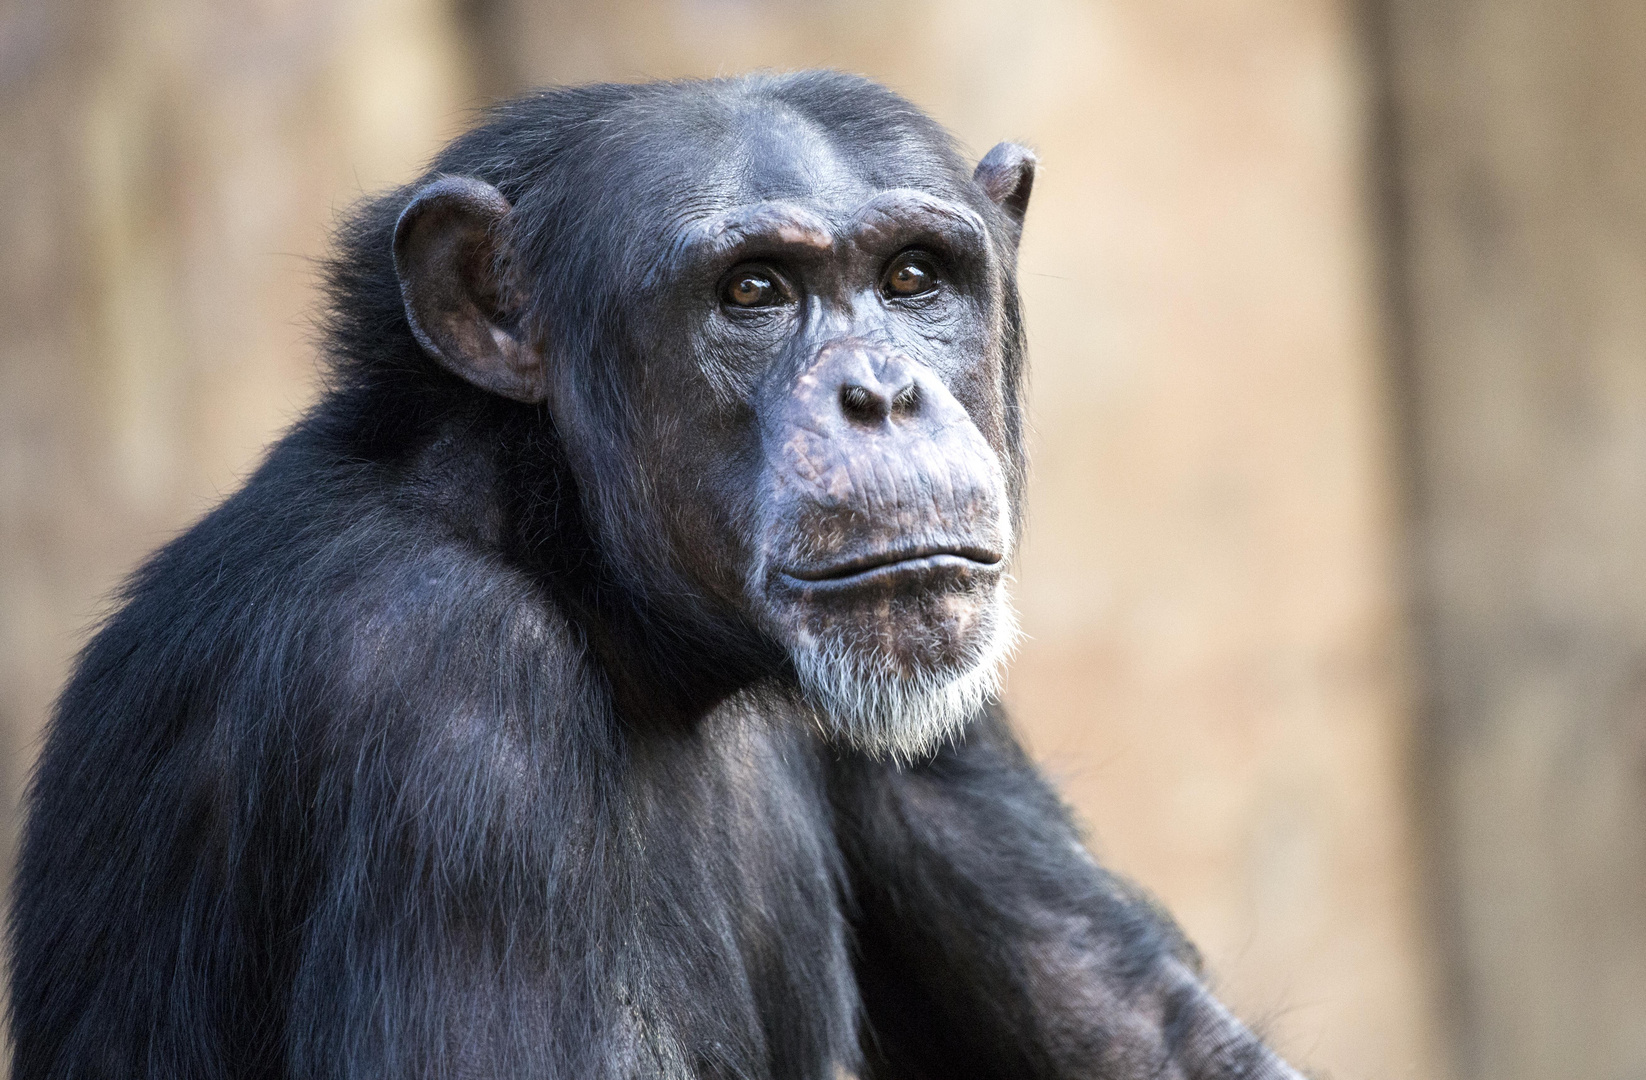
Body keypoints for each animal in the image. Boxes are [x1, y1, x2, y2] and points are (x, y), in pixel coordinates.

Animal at [6, 71, 1303, 1073]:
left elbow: (1142, 1024)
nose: (880, 393)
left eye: (912, 278)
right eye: (752, 292)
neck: (581, 570)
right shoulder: (439, 695)